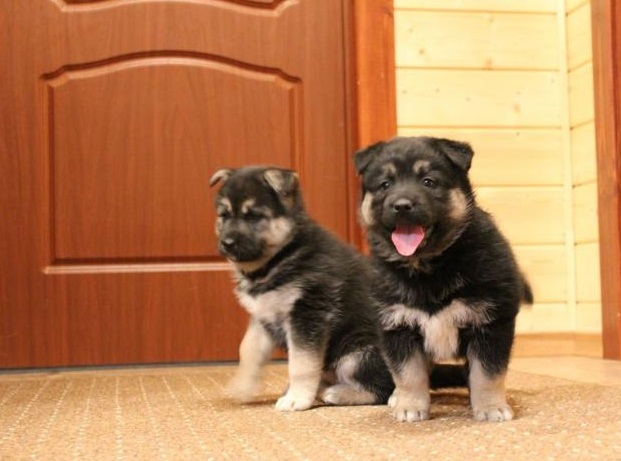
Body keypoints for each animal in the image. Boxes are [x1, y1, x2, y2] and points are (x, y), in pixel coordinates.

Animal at [208, 167, 392, 412]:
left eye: (254, 216)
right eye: (224, 215)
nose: (227, 243)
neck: (281, 257)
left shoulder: (307, 315)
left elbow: (301, 364)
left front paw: (297, 398)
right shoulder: (263, 317)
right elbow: (248, 350)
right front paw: (242, 386)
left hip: (358, 353)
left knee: (383, 389)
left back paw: (336, 393)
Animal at [354, 136, 532, 420]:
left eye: (429, 181)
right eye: (385, 184)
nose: (401, 205)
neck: (430, 266)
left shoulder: (491, 323)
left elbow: (487, 373)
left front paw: (490, 407)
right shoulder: (397, 326)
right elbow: (408, 374)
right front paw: (410, 406)